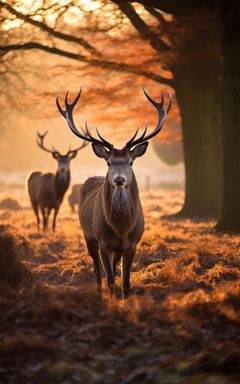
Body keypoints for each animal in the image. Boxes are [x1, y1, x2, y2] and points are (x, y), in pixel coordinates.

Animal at [57, 88, 172, 298]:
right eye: (109, 162)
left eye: (131, 162)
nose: (119, 180)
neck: (121, 227)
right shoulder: (103, 242)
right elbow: (110, 279)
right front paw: (111, 298)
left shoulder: (132, 244)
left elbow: (125, 282)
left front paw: (123, 299)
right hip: (88, 235)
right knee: (96, 266)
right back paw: (98, 292)